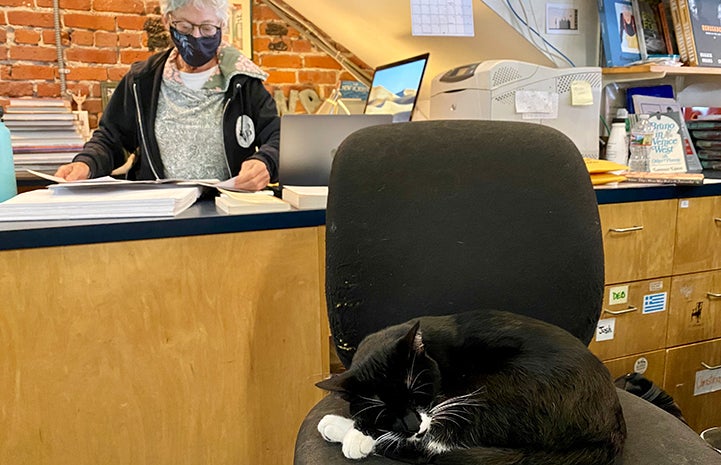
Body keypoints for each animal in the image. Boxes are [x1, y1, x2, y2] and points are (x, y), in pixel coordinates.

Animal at [316, 308, 624, 464]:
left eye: (417, 392)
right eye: (385, 411)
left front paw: (356, 433)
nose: (414, 425)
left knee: (438, 445)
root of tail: (611, 426)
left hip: (499, 388)